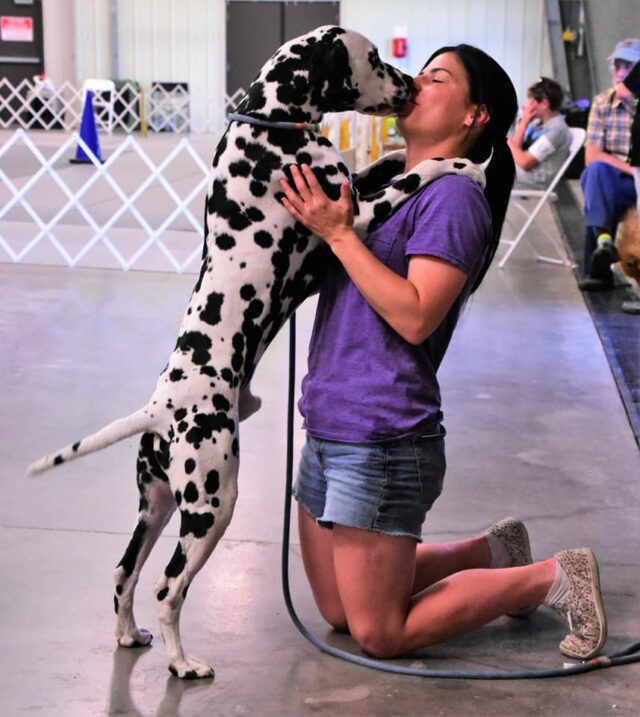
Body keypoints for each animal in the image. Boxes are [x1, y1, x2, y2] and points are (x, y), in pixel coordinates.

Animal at [26, 25, 484, 680]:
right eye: (374, 58)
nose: (411, 87)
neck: (269, 124)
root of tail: (160, 410)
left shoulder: (349, 197)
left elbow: (380, 167)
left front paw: (403, 152)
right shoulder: (355, 218)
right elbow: (409, 181)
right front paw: (462, 163)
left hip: (156, 506)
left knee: (124, 572)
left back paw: (129, 635)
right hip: (213, 504)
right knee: (168, 586)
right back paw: (183, 663)